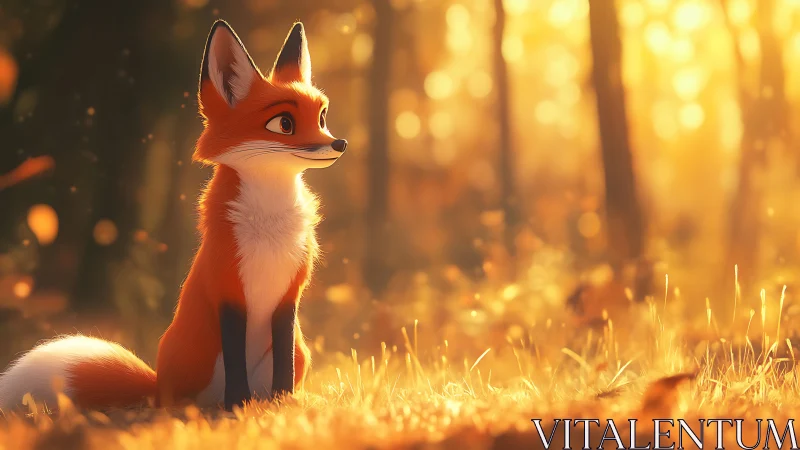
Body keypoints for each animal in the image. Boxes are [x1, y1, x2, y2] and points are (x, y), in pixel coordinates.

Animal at [0, 20, 346, 412]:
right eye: (284, 124)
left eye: (321, 118)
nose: (339, 144)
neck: (269, 229)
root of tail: (155, 383)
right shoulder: (227, 289)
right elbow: (235, 358)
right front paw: (238, 405)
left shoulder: (289, 296)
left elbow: (283, 364)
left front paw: (283, 402)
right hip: (189, 356)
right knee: (178, 401)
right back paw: (205, 408)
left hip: (302, 352)